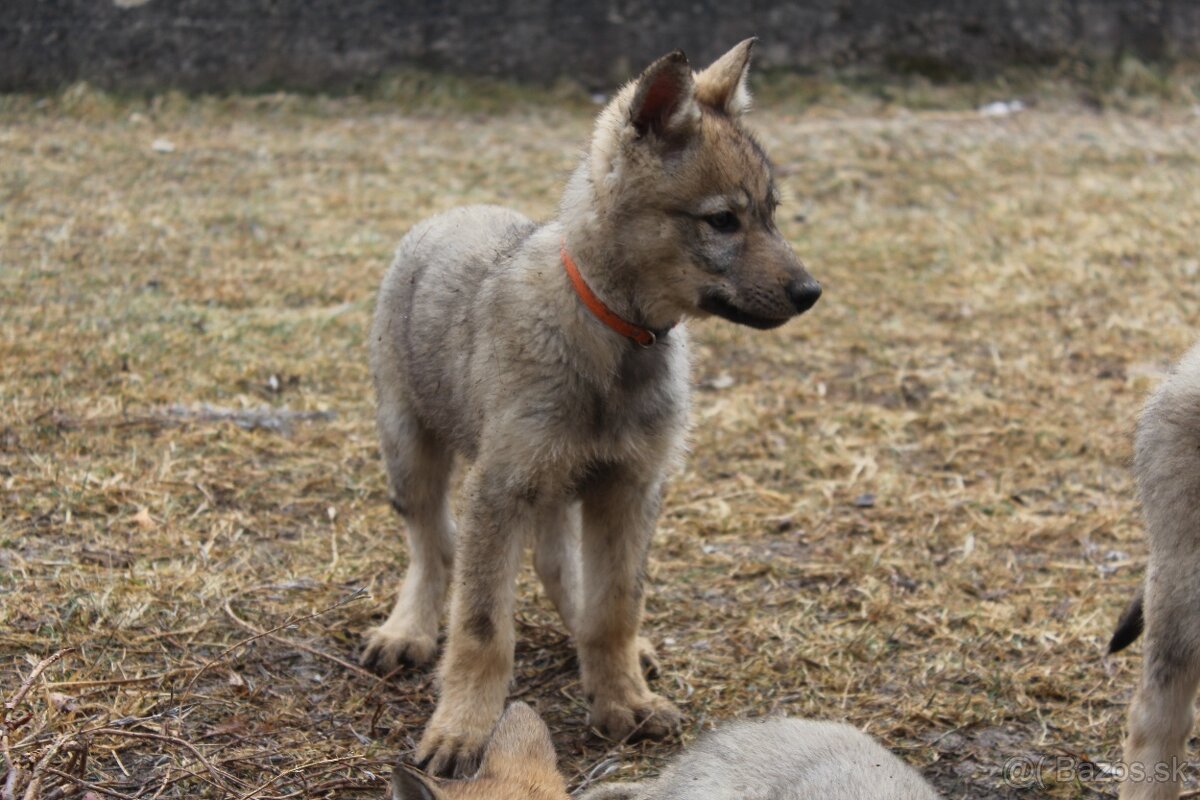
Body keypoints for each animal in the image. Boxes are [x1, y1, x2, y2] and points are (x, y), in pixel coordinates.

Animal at [362, 40, 825, 777]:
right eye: (722, 220)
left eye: (772, 213)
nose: (811, 292)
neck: (617, 338)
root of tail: (452, 212)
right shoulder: (501, 488)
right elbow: (482, 626)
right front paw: (464, 729)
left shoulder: (629, 486)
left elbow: (615, 608)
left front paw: (621, 698)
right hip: (414, 451)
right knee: (432, 546)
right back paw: (407, 630)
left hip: (555, 484)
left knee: (555, 565)